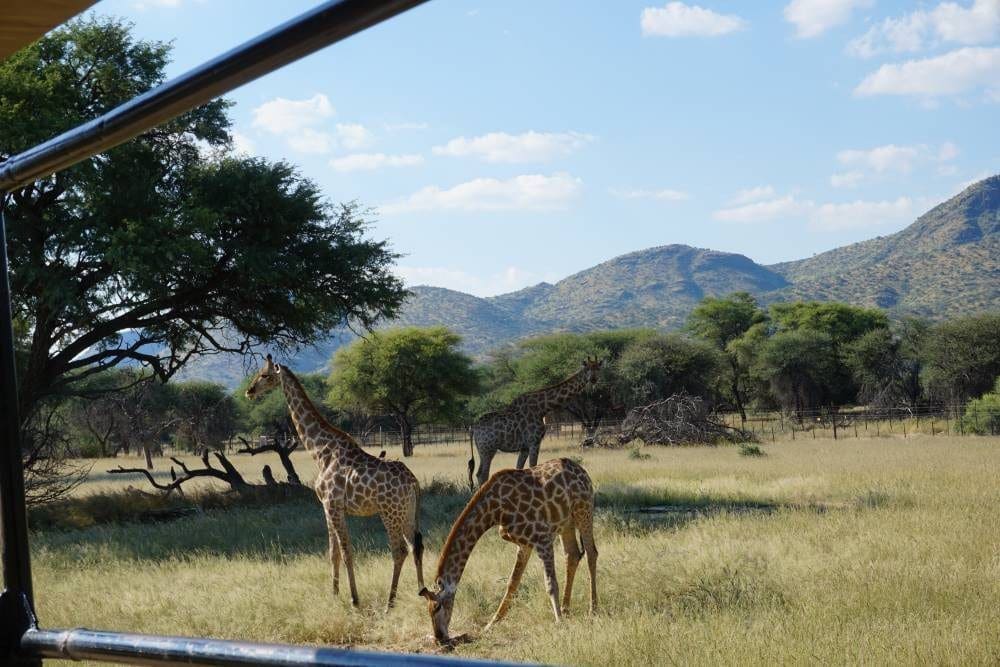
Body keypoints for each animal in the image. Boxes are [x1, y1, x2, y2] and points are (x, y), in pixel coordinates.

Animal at [249, 354, 426, 612]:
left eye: (265, 375)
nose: (249, 391)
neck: (320, 451)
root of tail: (413, 483)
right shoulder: (327, 506)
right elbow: (333, 552)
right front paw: (334, 595)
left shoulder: (332, 504)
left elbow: (345, 552)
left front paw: (354, 600)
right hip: (408, 512)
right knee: (416, 545)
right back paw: (422, 591)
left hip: (389, 512)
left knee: (399, 550)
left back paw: (389, 603)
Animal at [418, 456, 596, 644]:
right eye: (428, 610)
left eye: (437, 606)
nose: (439, 637)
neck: (495, 510)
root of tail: (581, 470)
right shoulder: (525, 544)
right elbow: (512, 583)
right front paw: (490, 625)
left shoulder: (543, 539)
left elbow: (550, 583)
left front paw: (559, 623)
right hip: (566, 523)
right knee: (572, 555)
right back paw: (566, 609)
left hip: (584, 510)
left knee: (591, 553)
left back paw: (593, 609)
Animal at [468, 358, 600, 488]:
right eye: (587, 369)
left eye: (598, 368)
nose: (594, 379)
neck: (542, 408)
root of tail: (473, 428)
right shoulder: (534, 442)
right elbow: (533, 467)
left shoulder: (525, 447)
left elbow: (519, 469)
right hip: (488, 449)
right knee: (483, 474)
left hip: (481, 450)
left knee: (478, 473)